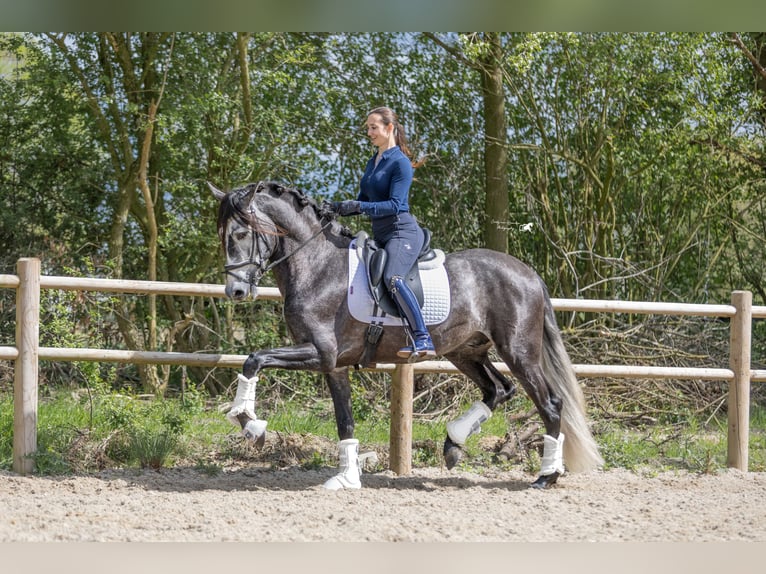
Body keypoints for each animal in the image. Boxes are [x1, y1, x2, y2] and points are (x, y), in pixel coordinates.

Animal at [210, 180, 603, 490]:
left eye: (241, 234)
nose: (236, 292)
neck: (318, 268)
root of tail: (530, 274)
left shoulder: (320, 352)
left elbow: (254, 359)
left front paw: (249, 424)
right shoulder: (333, 365)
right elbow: (344, 420)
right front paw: (347, 478)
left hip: (518, 351)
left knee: (549, 403)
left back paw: (546, 476)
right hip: (465, 351)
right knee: (499, 389)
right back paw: (453, 444)